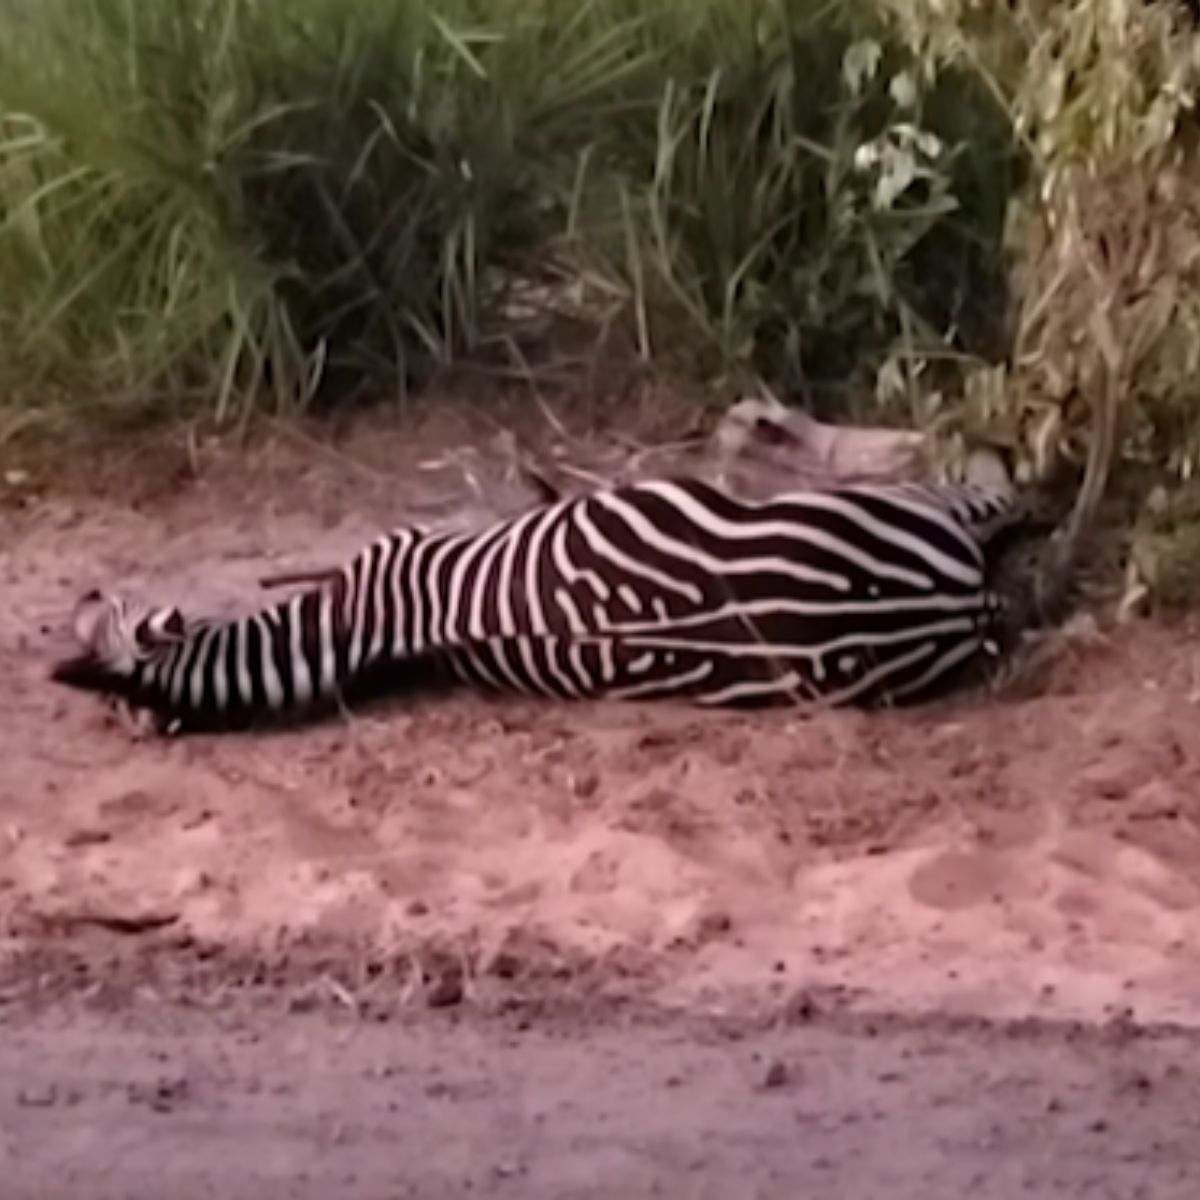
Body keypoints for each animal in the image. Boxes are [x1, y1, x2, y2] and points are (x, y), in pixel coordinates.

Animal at [54, 472, 1032, 734]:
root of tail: (950, 606)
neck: (356, 630)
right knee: (991, 495)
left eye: (103, 613)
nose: (84, 587)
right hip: (878, 504)